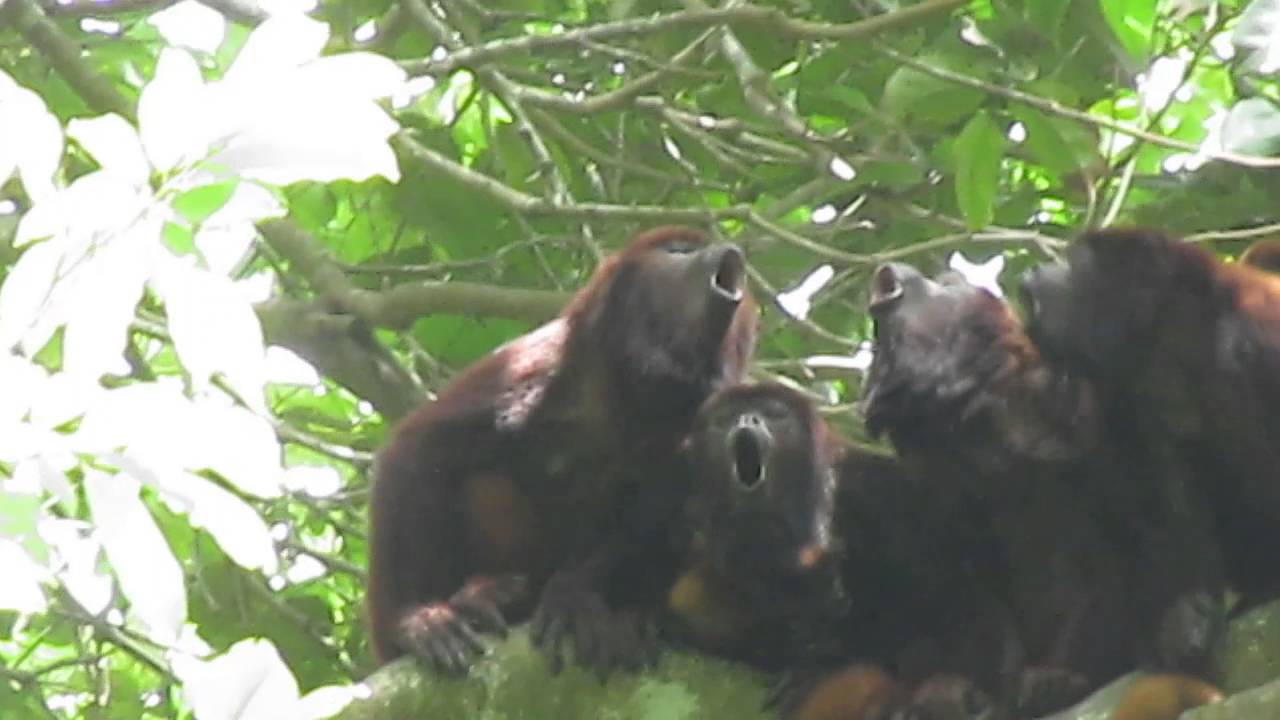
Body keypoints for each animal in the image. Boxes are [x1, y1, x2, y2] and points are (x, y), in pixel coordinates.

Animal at [365, 226, 757, 676]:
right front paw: (412, 620)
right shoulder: (530, 368)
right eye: (680, 251)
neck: (632, 396)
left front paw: (573, 595)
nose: (729, 249)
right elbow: (416, 451)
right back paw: (480, 598)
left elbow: (659, 512)